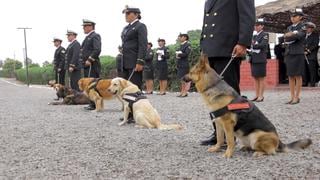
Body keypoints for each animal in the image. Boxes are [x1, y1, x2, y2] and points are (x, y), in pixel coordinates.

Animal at [184, 54, 312, 158]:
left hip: (256, 135)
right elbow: (220, 139)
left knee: (271, 152)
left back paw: (258, 152)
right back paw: (246, 148)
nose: (181, 78)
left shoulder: (227, 124)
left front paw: (228, 154)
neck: (212, 85)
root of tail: (279, 142)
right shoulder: (219, 123)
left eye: (190, 72)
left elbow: (230, 141)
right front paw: (216, 149)